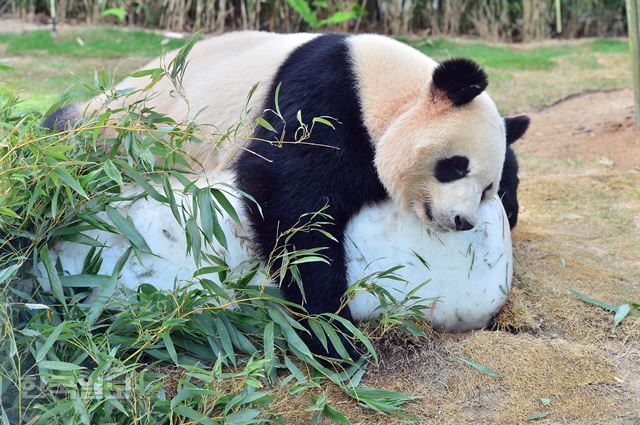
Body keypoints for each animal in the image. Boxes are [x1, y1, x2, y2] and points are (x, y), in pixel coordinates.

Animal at [45, 31, 528, 360]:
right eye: (455, 165)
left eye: (485, 188)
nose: (462, 220)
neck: (387, 92)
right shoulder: (325, 98)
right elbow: (291, 200)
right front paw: (335, 337)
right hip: (111, 124)